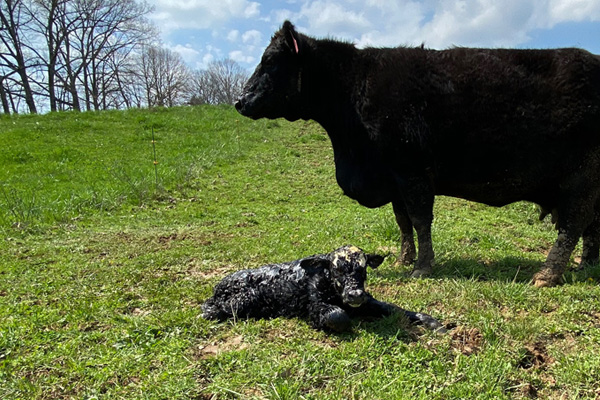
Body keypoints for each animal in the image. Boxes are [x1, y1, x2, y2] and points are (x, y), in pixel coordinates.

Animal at [204, 245, 442, 332]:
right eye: (337, 270)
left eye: (363, 269)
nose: (355, 294)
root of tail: (218, 286)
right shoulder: (315, 304)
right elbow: (338, 316)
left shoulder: (367, 301)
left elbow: (397, 309)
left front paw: (434, 323)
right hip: (243, 300)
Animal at [236, 21, 600, 288]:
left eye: (270, 62)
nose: (240, 101)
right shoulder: (394, 178)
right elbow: (403, 221)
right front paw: (404, 259)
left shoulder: (412, 171)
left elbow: (421, 218)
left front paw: (422, 267)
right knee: (591, 226)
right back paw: (585, 266)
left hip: (581, 179)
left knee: (573, 224)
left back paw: (547, 275)